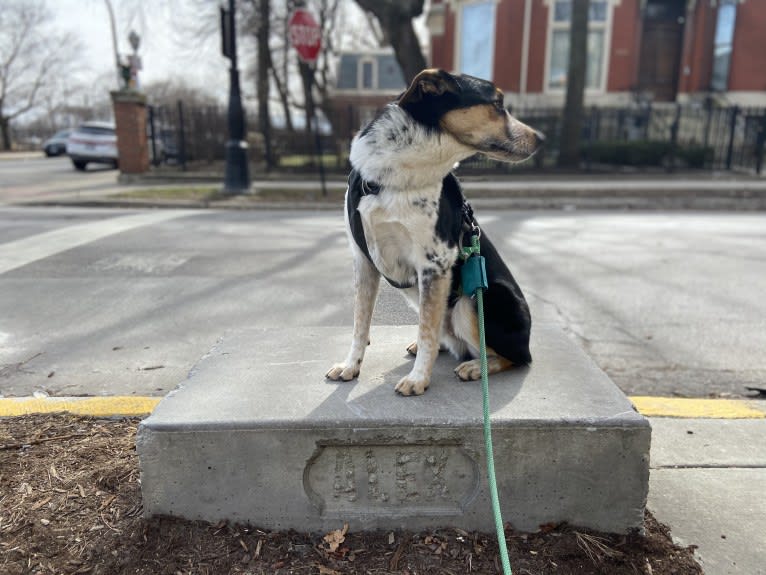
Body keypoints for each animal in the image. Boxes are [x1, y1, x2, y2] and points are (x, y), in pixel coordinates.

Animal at [328, 67, 544, 396]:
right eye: (497, 103)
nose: (541, 139)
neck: (397, 175)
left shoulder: (435, 262)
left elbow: (427, 329)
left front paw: (418, 379)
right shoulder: (363, 260)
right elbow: (360, 323)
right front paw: (351, 366)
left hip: (474, 300)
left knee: (513, 357)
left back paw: (475, 367)